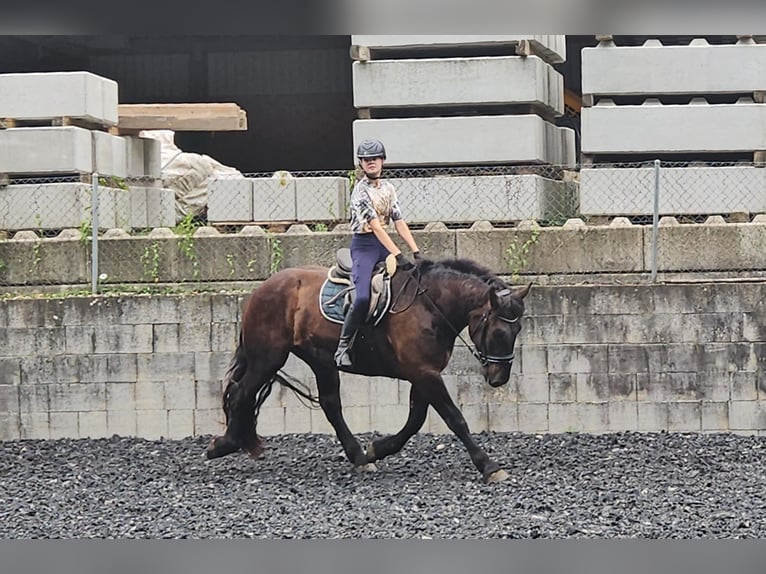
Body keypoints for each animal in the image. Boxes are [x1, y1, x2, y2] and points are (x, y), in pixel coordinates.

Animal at [210, 258, 536, 484]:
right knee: (241, 394)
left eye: (518, 329)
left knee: (330, 404)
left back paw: (358, 456)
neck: (429, 306)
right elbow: (455, 419)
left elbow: (415, 421)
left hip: (320, 361)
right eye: (498, 332)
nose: (499, 378)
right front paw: (489, 466)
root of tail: (260, 289)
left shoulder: (423, 373)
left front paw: (376, 449)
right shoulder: (424, 373)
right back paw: (223, 445)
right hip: (267, 358)